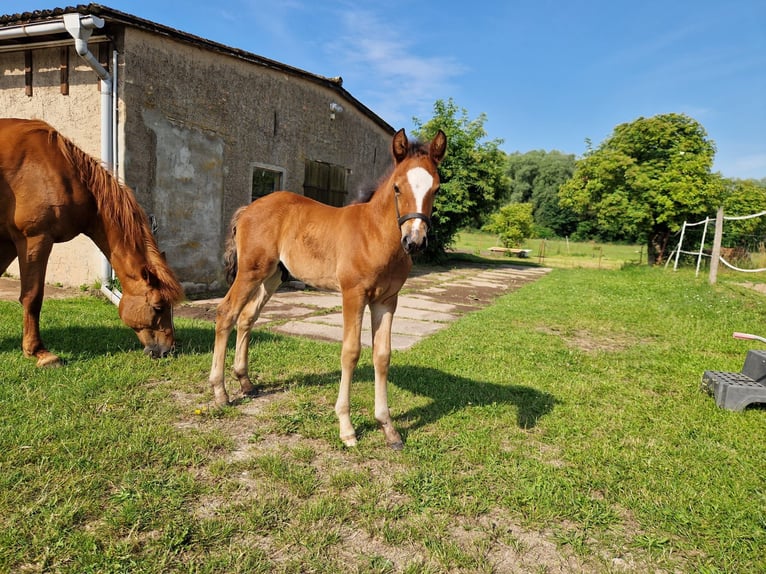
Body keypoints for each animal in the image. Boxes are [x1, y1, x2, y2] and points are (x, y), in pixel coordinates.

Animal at [0, 119, 184, 366]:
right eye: (158, 307)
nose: (167, 351)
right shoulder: (34, 239)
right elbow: (33, 296)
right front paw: (39, 352)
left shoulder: (9, 242)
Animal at [210, 130, 450, 450]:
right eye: (397, 187)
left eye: (436, 189)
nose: (415, 241)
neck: (374, 235)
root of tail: (248, 208)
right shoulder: (353, 295)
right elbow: (351, 352)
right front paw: (347, 428)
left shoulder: (387, 300)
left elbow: (382, 355)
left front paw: (389, 428)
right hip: (250, 271)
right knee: (226, 313)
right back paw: (220, 393)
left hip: (272, 276)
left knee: (247, 317)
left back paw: (245, 383)